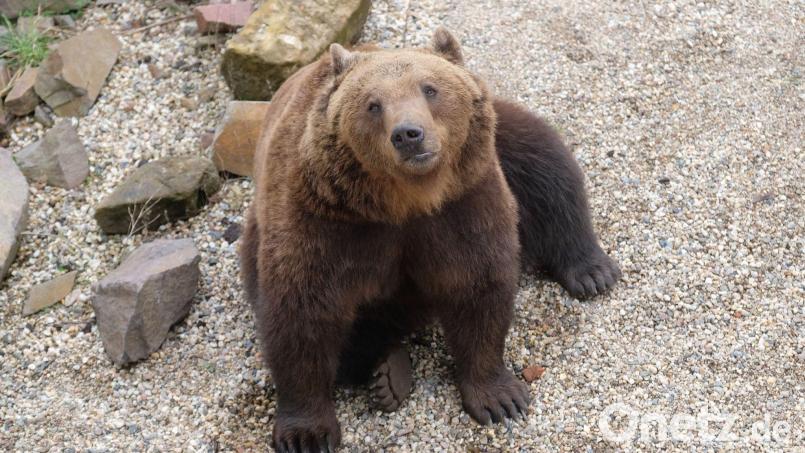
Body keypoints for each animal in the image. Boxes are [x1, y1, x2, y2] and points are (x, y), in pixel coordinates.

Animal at [240, 27, 620, 452]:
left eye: (430, 88)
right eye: (373, 104)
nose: (408, 134)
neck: (406, 202)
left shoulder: (462, 204)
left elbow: (478, 286)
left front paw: (500, 397)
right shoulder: (325, 222)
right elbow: (302, 310)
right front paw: (306, 432)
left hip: (502, 142)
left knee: (546, 163)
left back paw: (591, 271)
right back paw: (388, 372)